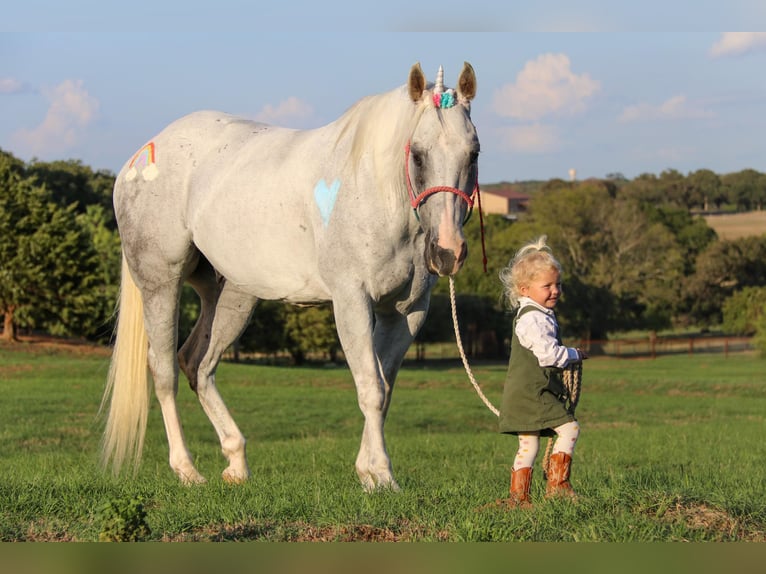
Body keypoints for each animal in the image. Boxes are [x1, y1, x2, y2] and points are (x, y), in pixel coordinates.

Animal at [101, 60, 480, 490]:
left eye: (473, 153)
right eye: (417, 155)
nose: (448, 252)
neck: (377, 192)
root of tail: (140, 158)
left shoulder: (407, 312)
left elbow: (384, 389)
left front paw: (369, 471)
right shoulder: (351, 301)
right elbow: (370, 388)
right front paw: (381, 473)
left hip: (231, 295)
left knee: (198, 363)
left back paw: (236, 462)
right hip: (159, 284)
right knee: (165, 371)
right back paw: (187, 469)